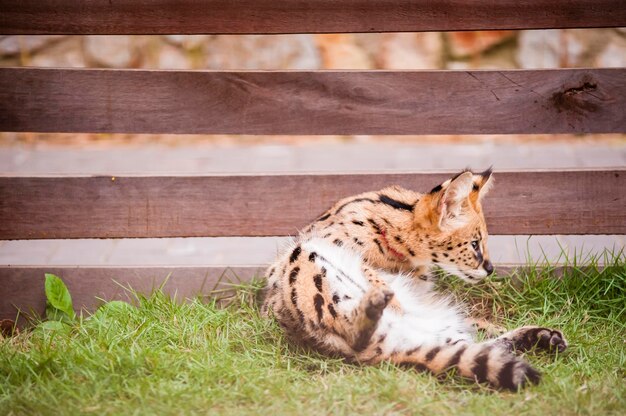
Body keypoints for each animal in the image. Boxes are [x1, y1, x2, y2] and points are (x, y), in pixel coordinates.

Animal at [260, 169, 564, 390]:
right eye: (474, 244)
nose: (490, 269)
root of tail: (388, 345)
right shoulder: (306, 253)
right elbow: (370, 271)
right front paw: (387, 292)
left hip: (442, 334)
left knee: (475, 347)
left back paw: (540, 337)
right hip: (302, 262)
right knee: (352, 332)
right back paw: (376, 306)